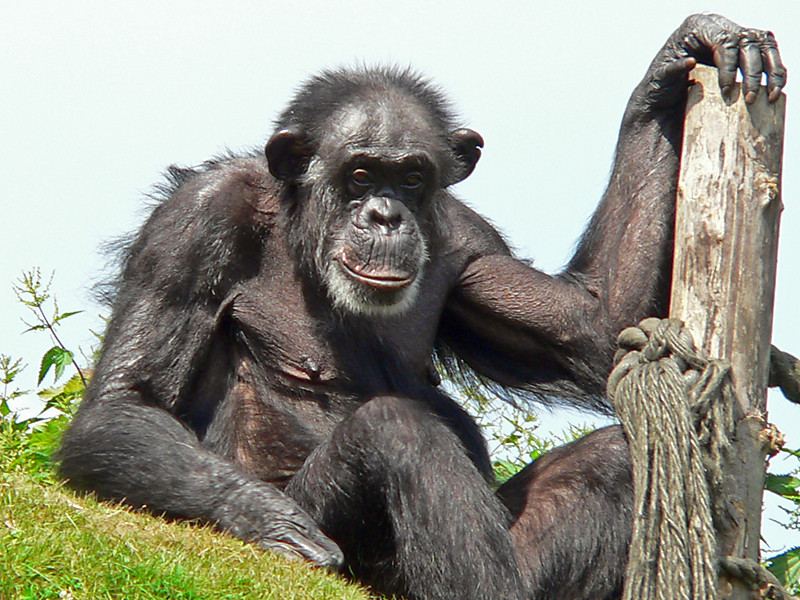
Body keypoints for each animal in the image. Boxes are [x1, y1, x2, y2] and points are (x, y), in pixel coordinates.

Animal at [57, 14, 788, 600]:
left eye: (410, 175)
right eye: (359, 174)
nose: (385, 214)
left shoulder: (467, 239)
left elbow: (596, 319)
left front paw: (675, 63)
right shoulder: (196, 221)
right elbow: (124, 404)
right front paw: (273, 523)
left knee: (617, 457)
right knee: (396, 432)